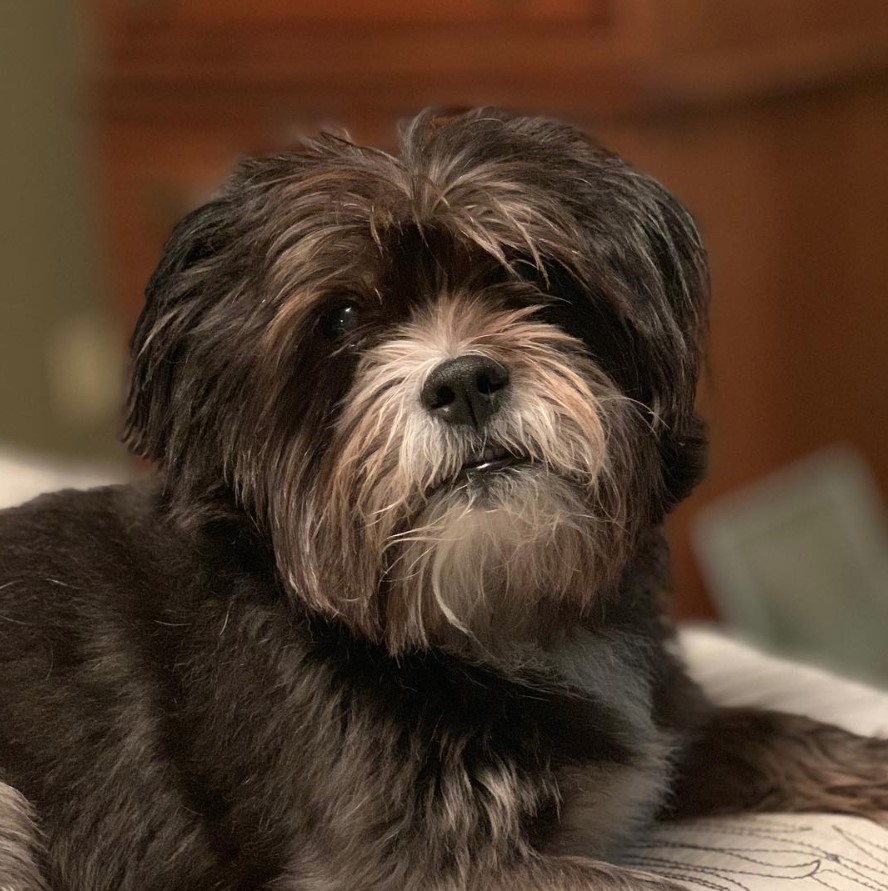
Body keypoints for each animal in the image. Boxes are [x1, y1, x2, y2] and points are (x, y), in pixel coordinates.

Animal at [1, 108, 888, 888]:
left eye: (526, 274)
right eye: (341, 318)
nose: (462, 381)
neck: (494, 617)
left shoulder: (670, 726)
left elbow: (781, 729)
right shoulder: (406, 862)